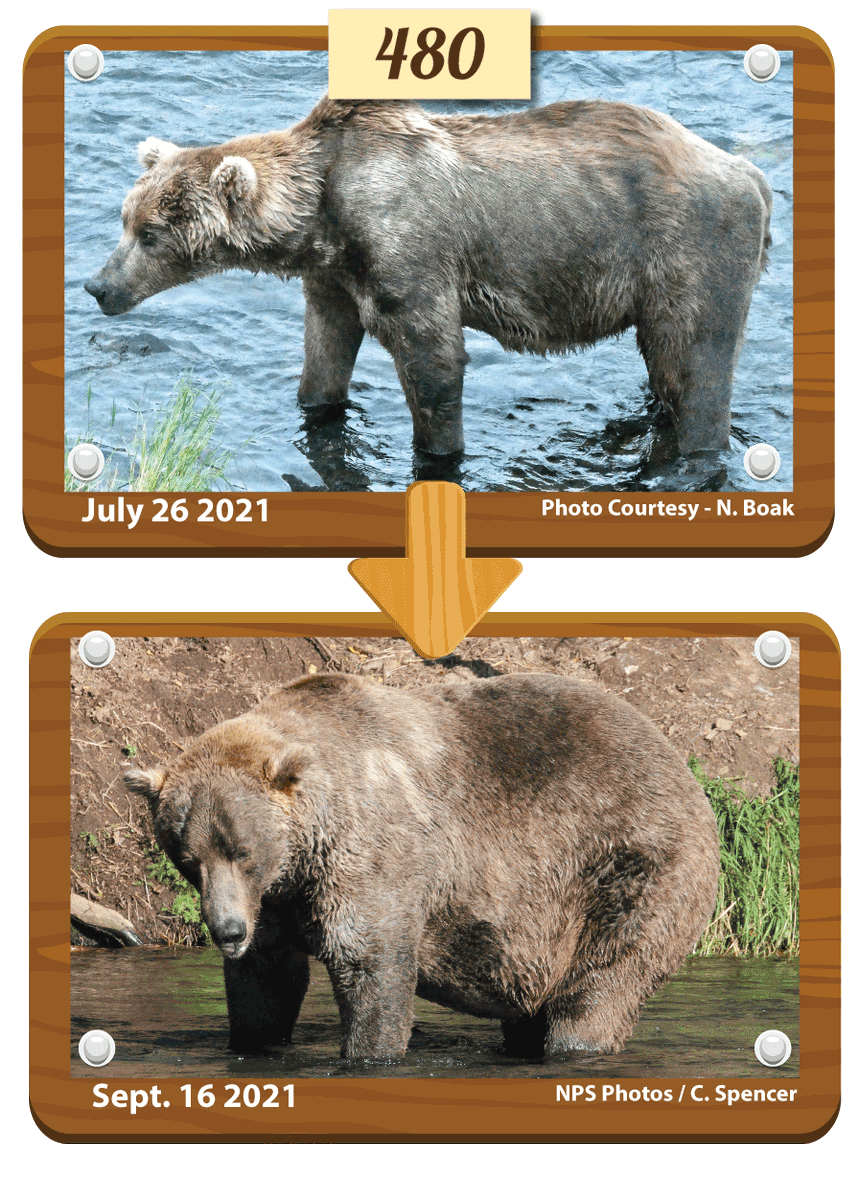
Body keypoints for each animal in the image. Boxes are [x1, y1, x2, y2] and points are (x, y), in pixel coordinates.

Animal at [85, 97, 772, 461]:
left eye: (151, 233)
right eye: (125, 218)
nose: (97, 286)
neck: (324, 215)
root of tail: (747, 171)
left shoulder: (408, 250)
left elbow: (434, 362)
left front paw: (439, 452)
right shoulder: (334, 278)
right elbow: (326, 352)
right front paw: (316, 406)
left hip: (686, 252)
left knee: (697, 364)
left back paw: (697, 447)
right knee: (665, 366)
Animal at [124, 672, 720, 1060]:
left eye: (242, 851)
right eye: (188, 858)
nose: (227, 931)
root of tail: (681, 764)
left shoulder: (372, 857)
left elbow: (371, 963)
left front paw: (369, 1052)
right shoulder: (277, 900)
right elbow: (266, 982)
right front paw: (254, 1039)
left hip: (628, 867)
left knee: (601, 984)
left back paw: (576, 1043)